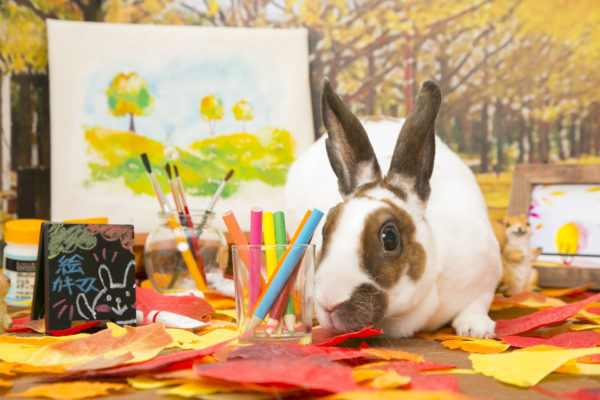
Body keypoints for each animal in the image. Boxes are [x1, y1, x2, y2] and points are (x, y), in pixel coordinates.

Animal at [284, 79, 502, 340]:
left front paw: (476, 329)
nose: (328, 303)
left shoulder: (485, 273)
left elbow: (478, 302)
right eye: (325, 229)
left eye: (389, 238)